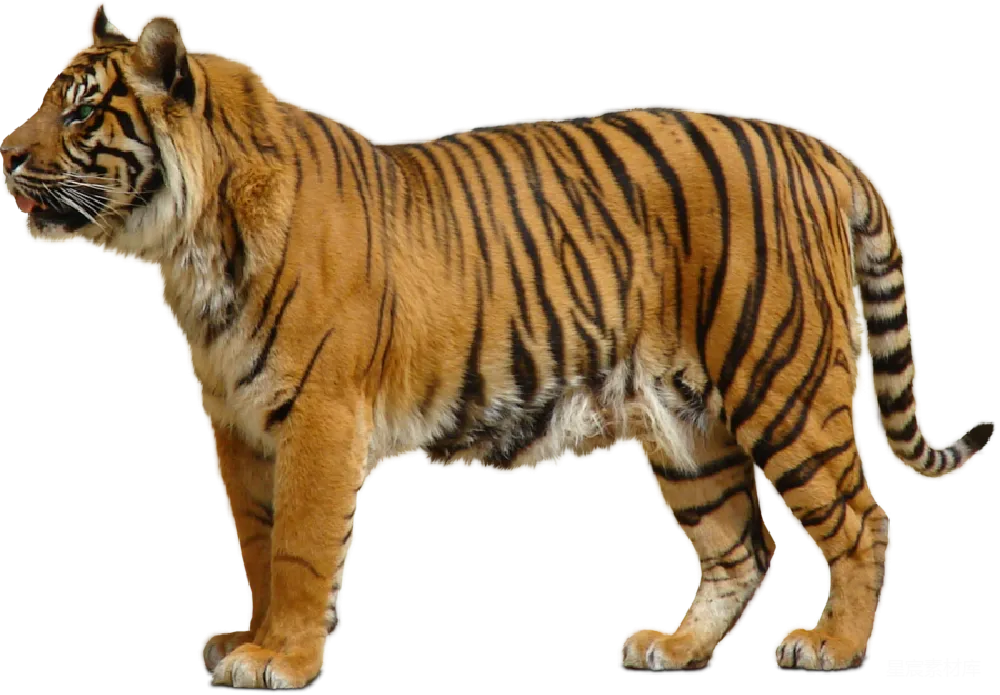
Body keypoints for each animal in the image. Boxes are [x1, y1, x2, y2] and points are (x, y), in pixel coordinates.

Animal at [3, 2, 993, 687]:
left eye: (81, 114)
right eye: (46, 100)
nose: (7, 151)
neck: (185, 248)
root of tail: (820, 146)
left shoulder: (320, 414)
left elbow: (301, 545)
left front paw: (279, 657)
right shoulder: (236, 424)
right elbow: (257, 538)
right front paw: (249, 637)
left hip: (782, 382)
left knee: (861, 519)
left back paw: (833, 644)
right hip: (684, 425)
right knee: (739, 546)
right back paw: (673, 644)